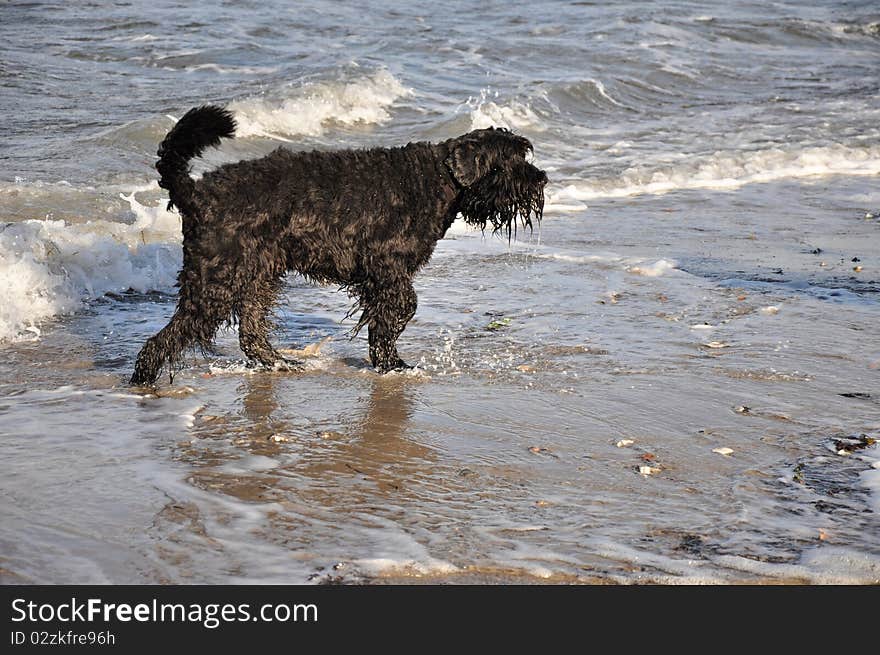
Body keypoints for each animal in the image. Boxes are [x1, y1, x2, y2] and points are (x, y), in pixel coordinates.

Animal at [131, 105, 548, 386]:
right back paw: (143, 378)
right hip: (215, 281)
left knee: (251, 332)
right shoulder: (387, 269)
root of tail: (197, 193)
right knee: (167, 338)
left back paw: (278, 362)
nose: (541, 179)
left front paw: (386, 361)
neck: (436, 180)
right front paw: (390, 363)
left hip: (256, 278)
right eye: (507, 160)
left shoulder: (381, 277)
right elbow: (401, 310)